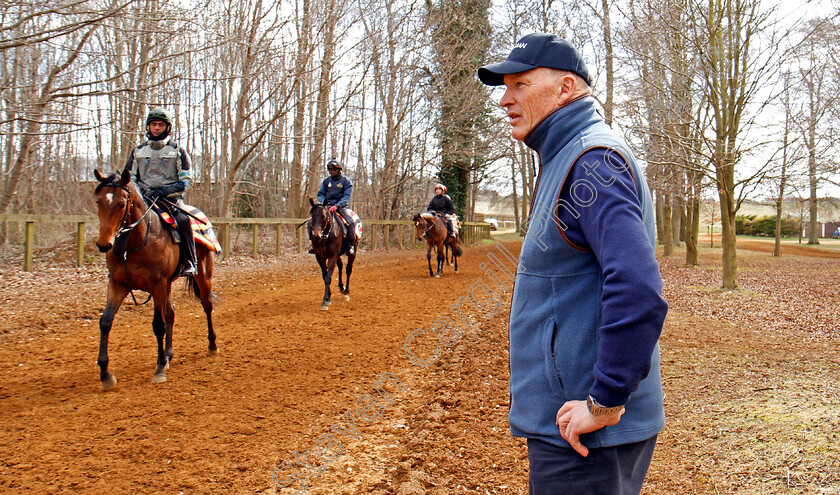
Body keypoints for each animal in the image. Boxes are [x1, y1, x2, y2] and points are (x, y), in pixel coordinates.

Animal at [92, 170, 217, 392]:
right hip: (168, 285)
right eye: (98, 201)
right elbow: (105, 322)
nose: (104, 244)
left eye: (122, 203)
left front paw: (159, 369)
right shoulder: (118, 284)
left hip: (202, 274)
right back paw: (168, 354)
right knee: (171, 314)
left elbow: (158, 324)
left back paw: (211, 345)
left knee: (206, 304)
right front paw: (105, 374)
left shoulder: (157, 284)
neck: (135, 242)